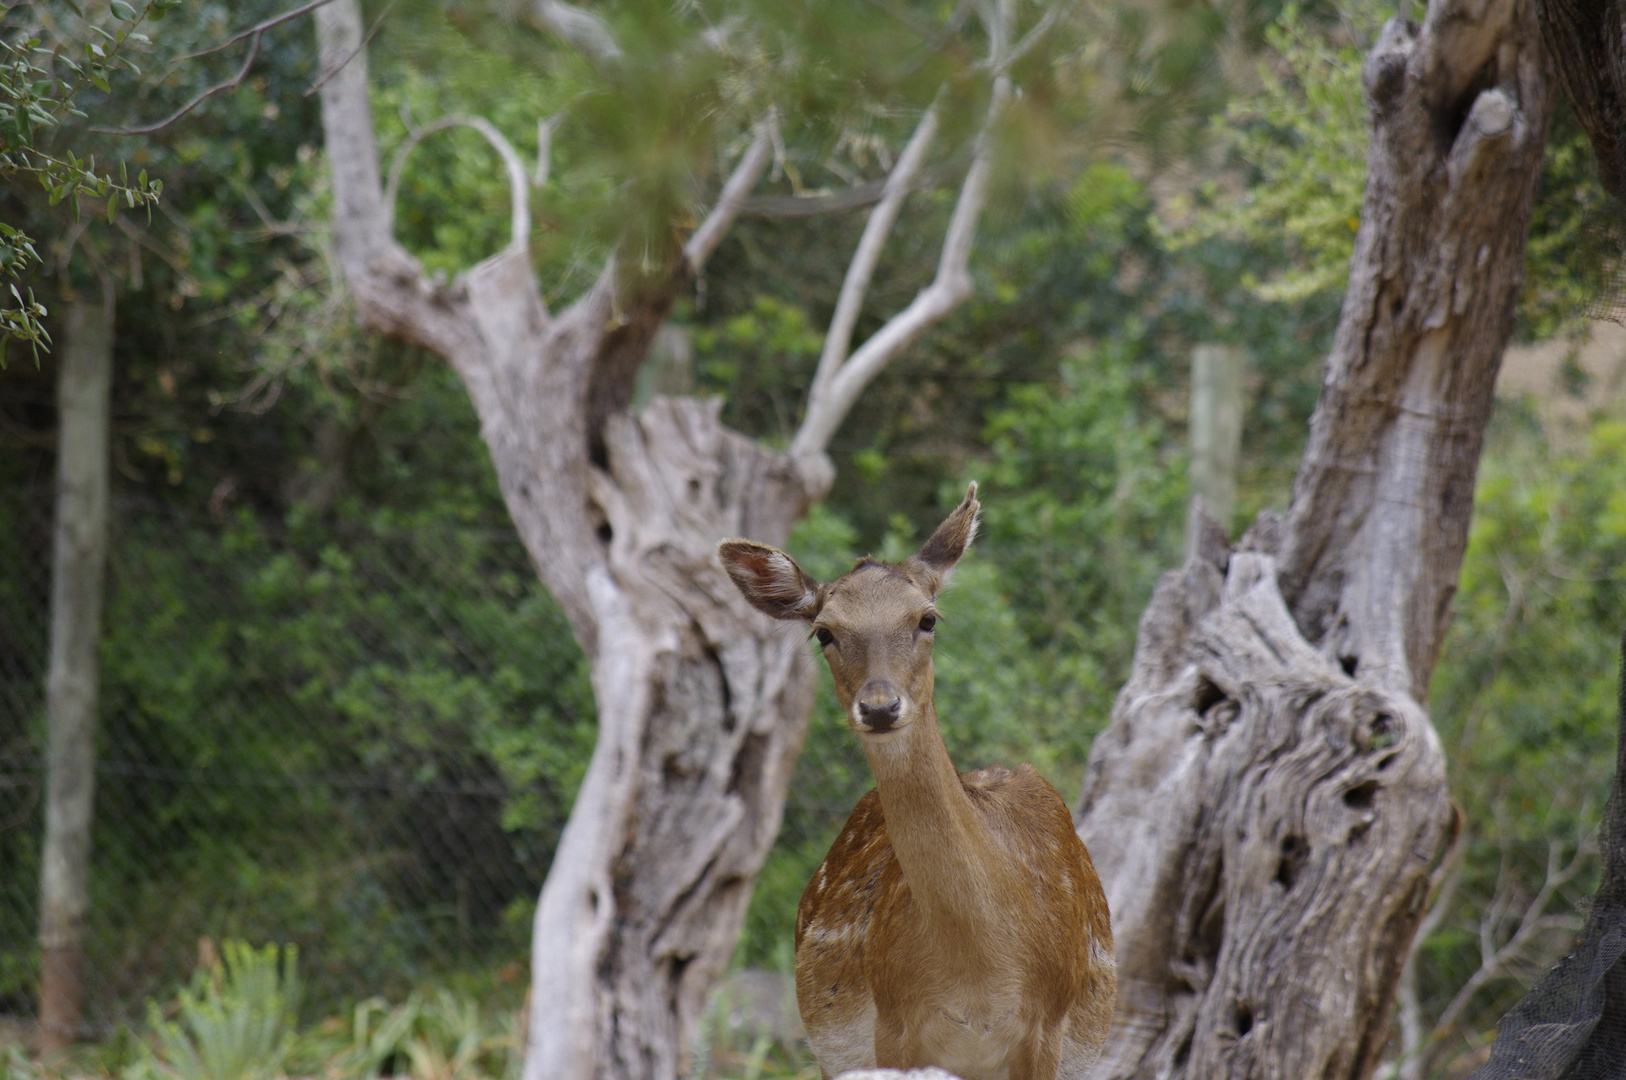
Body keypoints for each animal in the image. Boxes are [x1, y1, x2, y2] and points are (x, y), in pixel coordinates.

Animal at [718, 484, 1112, 1080]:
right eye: (823, 631)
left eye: (928, 619)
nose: (880, 707)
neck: (981, 979)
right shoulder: (893, 1023)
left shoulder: (1050, 1025)